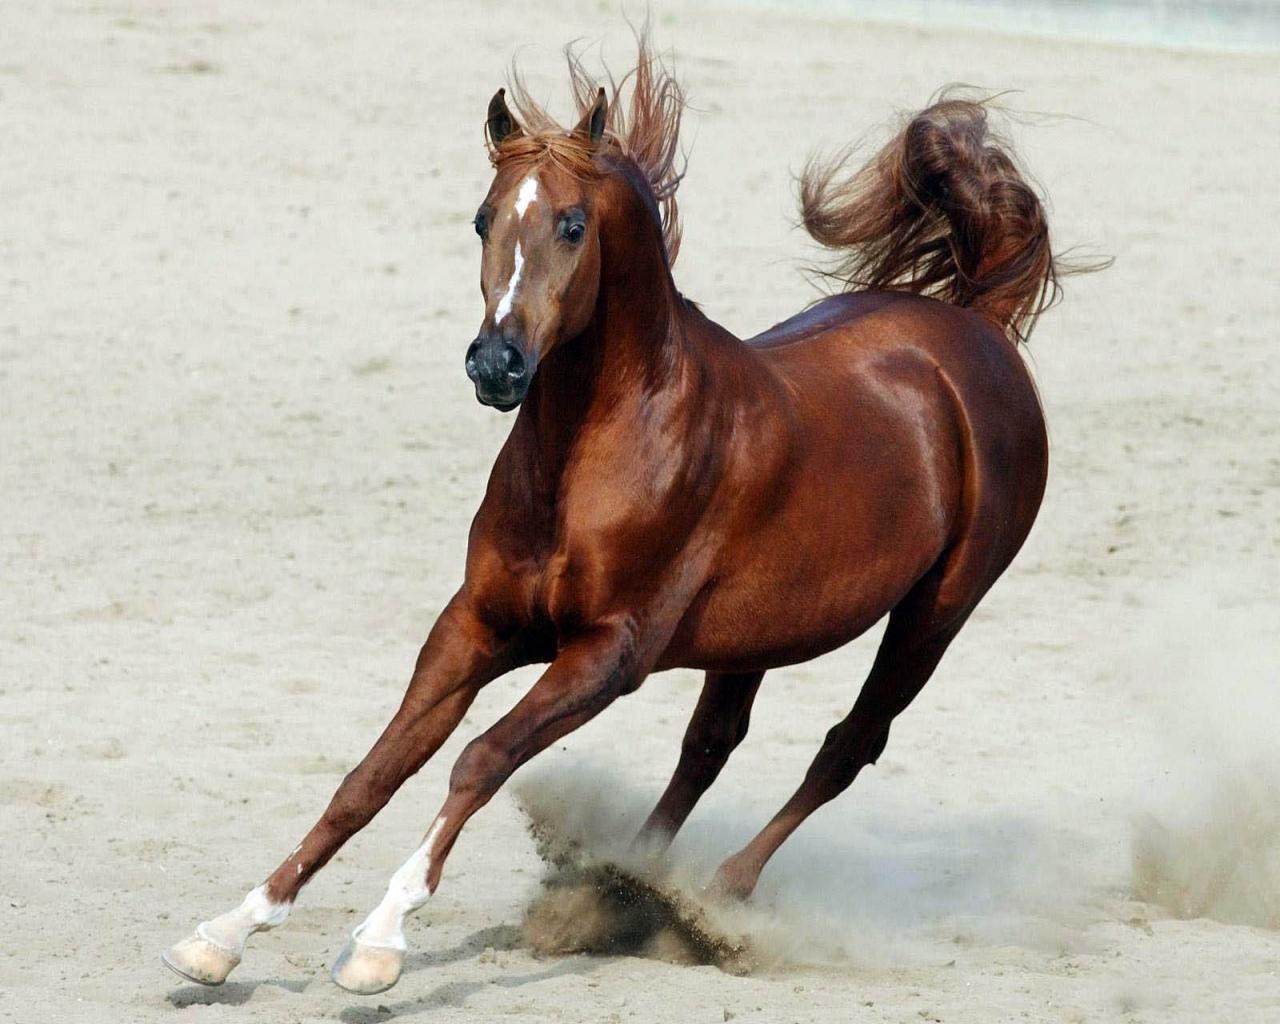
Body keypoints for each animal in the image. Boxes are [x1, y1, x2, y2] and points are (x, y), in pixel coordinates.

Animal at [164, 39, 1062, 995]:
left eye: (570, 225)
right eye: (481, 220)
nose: (496, 364)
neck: (592, 455)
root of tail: (976, 331)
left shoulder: (608, 653)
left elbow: (479, 760)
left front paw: (379, 942)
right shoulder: (476, 625)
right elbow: (371, 774)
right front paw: (224, 933)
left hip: (937, 613)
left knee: (847, 745)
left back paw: (712, 899)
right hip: (760, 633)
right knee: (711, 744)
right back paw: (627, 886)